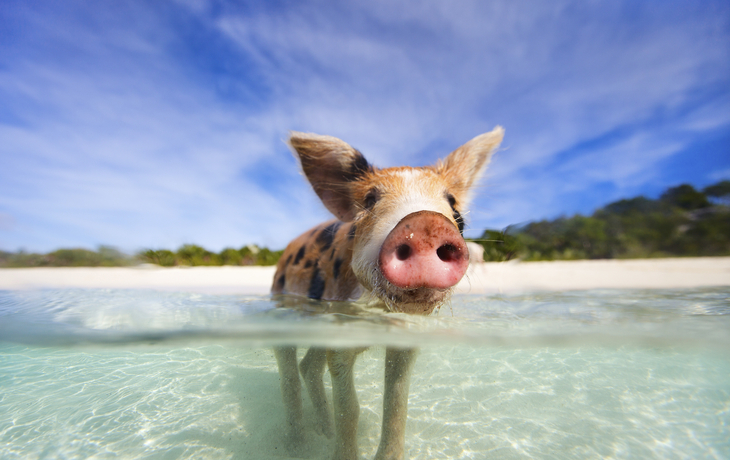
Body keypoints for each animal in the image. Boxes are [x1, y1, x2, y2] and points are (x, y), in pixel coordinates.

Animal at [271, 127, 504, 459]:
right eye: (369, 200)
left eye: (453, 205)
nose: (425, 223)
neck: (380, 314)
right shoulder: (340, 334)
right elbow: (350, 410)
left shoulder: (405, 339)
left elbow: (396, 406)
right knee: (289, 369)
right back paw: (296, 444)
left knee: (309, 367)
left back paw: (323, 431)